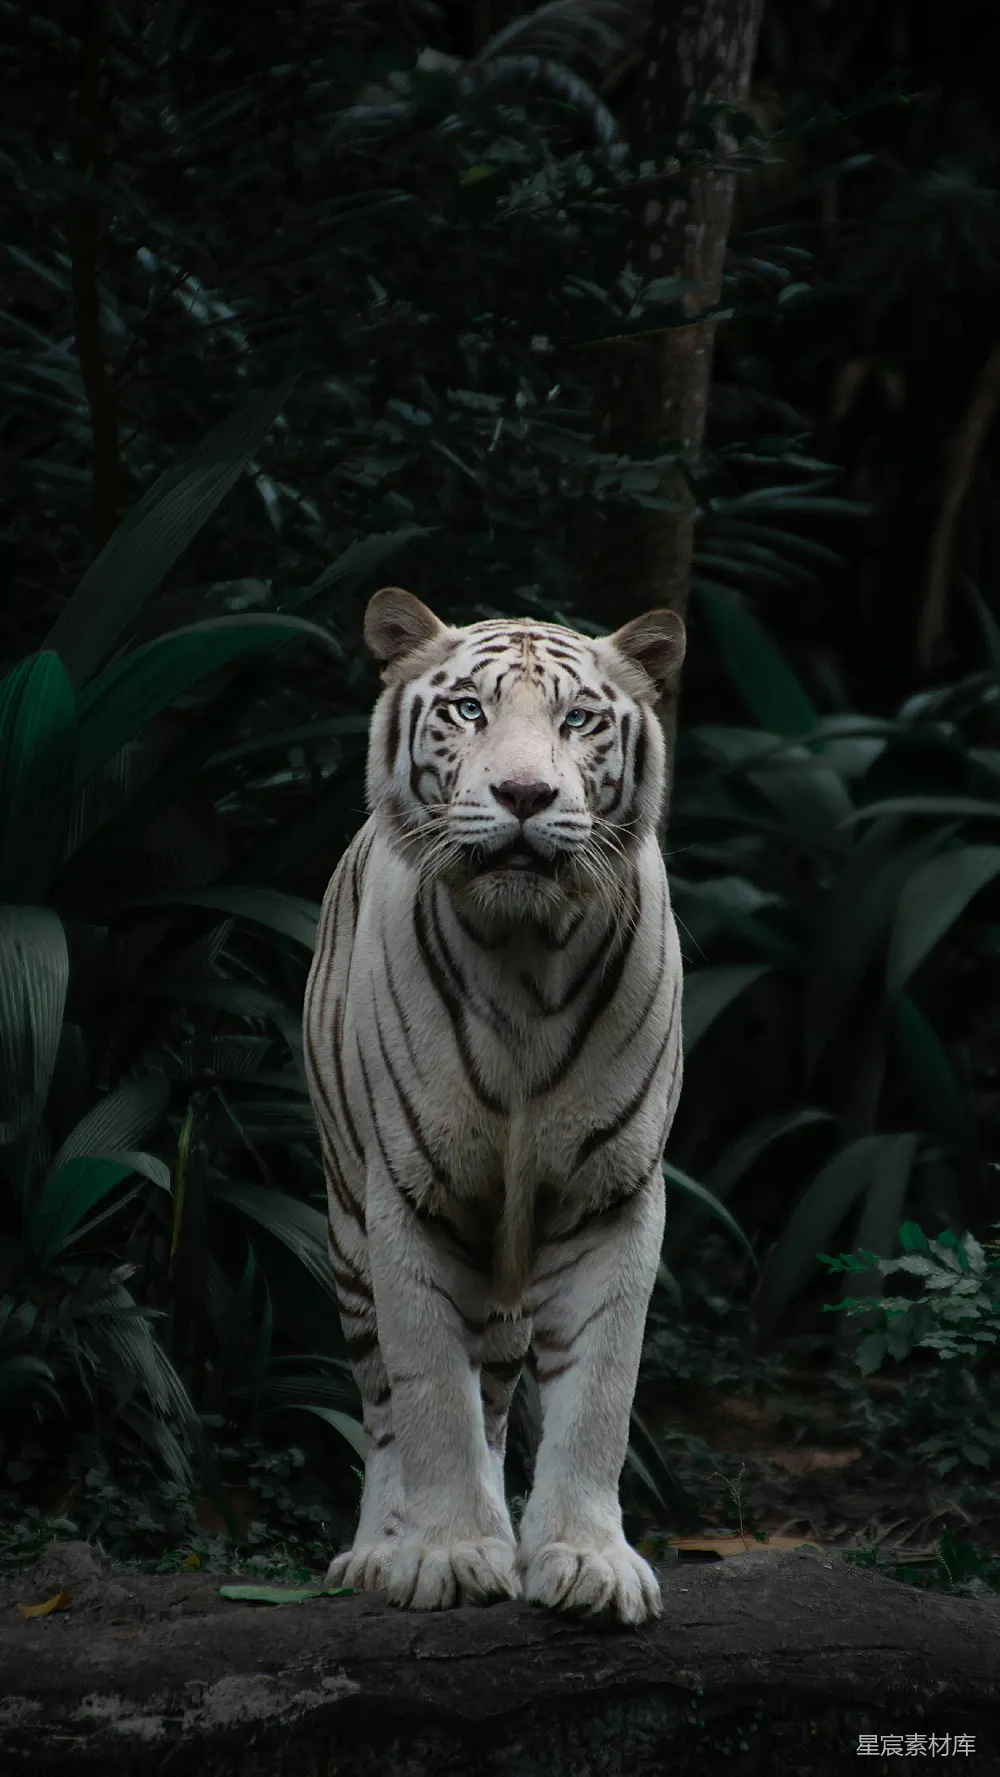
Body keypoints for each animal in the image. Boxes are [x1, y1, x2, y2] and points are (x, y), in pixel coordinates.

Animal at [302, 586, 685, 1625]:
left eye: (579, 719)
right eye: (469, 709)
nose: (523, 796)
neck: (524, 956)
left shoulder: (612, 1195)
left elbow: (599, 1392)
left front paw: (586, 1560)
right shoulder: (408, 1195)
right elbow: (430, 1392)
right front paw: (447, 1553)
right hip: (346, 1228)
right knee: (383, 1404)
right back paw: (378, 1551)